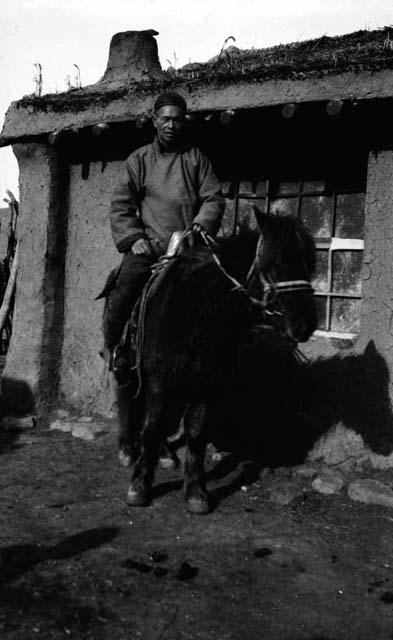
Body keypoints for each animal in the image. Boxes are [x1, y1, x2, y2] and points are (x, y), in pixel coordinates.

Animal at [103, 210, 316, 516]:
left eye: (308, 265)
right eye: (273, 264)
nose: (304, 325)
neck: (196, 311)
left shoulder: (206, 383)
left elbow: (195, 434)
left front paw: (195, 492)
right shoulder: (158, 377)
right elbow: (152, 428)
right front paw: (140, 486)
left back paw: (165, 455)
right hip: (126, 362)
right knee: (126, 395)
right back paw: (127, 450)